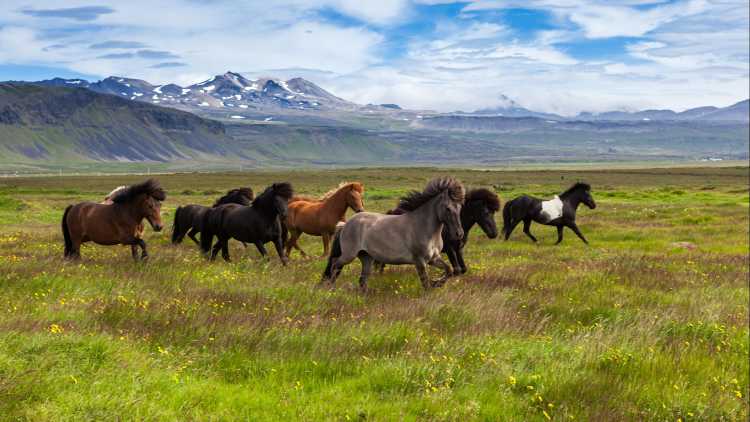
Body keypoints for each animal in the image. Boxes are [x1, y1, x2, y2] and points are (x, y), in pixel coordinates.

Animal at [322, 176, 468, 292]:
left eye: (460, 207)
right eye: (448, 208)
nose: (459, 234)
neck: (423, 227)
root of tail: (346, 224)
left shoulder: (433, 258)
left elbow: (449, 270)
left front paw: (437, 282)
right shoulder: (420, 261)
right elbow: (425, 282)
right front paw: (432, 286)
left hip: (366, 257)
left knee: (362, 280)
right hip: (349, 255)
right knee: (335, 264)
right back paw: (331, 288)